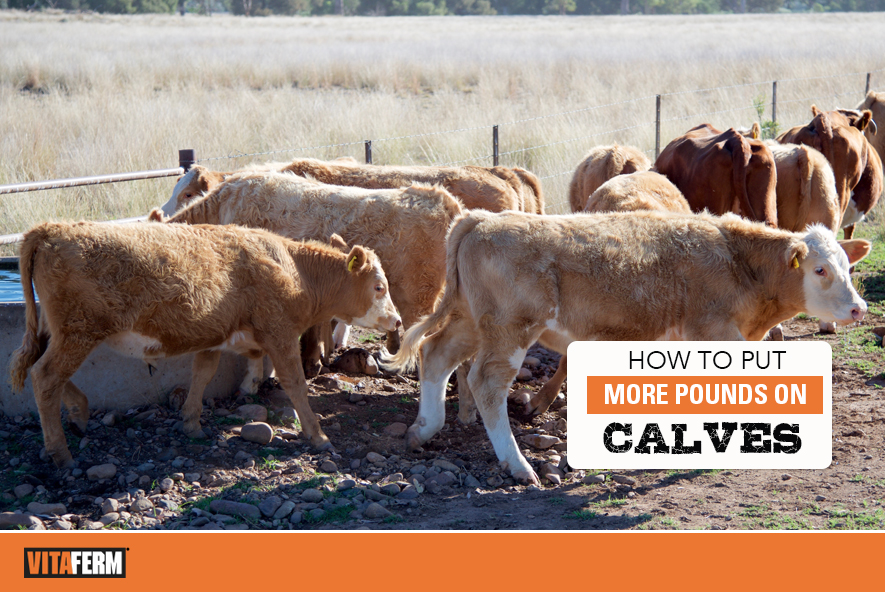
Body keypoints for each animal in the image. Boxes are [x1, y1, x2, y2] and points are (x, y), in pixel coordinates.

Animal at [9, 221, 400, 468]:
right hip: (78, 332)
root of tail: (52, 228)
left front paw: (191, 422)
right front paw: (317, 436)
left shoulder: (214, 335)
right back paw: (61, 453)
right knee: (46, 377)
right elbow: (296, 385)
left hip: (58, 331)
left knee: (37, 366)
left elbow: (202, 374)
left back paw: (78, 411)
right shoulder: (280, 334)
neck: (295, 270)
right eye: (379, 287)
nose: (397, 321)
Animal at [383, 210, 869, 484]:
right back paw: (518, 465)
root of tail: (481, 219)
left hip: (470, 319)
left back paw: (423, 429)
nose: (859, 308)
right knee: (486, 384)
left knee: (436, 356)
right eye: (821, 270)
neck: (737, 262)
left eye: (848, 266)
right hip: (508, 329)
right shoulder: (714, 332)